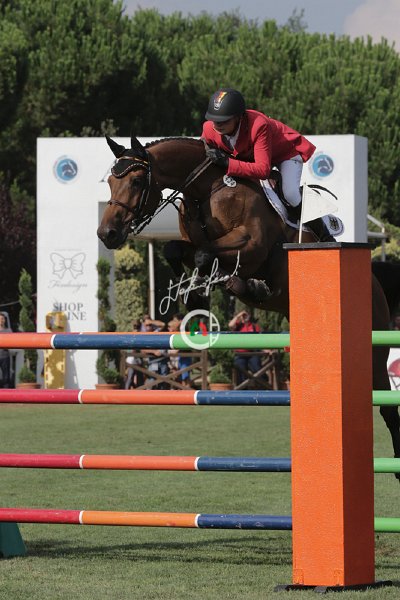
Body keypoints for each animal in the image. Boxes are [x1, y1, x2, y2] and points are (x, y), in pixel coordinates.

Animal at [97, 135, 400, 474]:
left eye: (137, 181)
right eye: (110, 181)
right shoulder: (194, 242)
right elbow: (178, 250)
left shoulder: (251, 244)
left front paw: (219, 287)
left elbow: (205, 255)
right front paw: (196, 293)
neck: (205, 192)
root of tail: (374, 282)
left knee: (388, 408)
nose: (107, 233)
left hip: (375, 355)